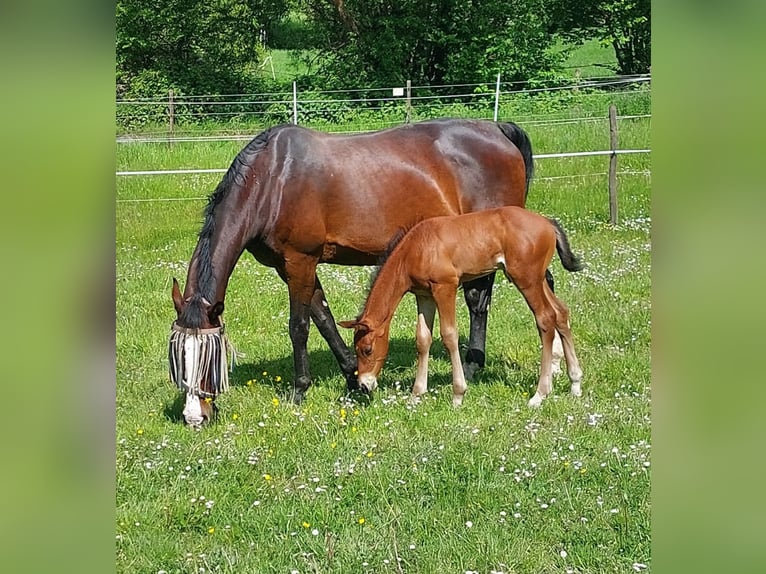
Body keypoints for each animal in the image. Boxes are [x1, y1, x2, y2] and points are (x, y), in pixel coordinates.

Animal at [169, 119, 544, 426]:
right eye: (178, 359)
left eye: (208, 359)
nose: (194, 418)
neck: (272, 179)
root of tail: (498, 130)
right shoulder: (289, 267)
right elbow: (324, 320)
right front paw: (352, 376)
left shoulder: (300, 260)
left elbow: (299, 326)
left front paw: (299, 390)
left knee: (478, 302)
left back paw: (471, 367)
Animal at [340, 207, 584, 410]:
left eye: (367, 349)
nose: (364, 385)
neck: (415, 249)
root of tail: (547, 222)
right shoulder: (424, 295)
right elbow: (423, 339)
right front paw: (416, 395)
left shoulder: (445, 288)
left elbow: (449, 335)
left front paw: (458, 394)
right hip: (538, 279)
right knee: (561, 313)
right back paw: (575, 383)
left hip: (527, 279)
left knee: (545, 318)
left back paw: (540, 394)